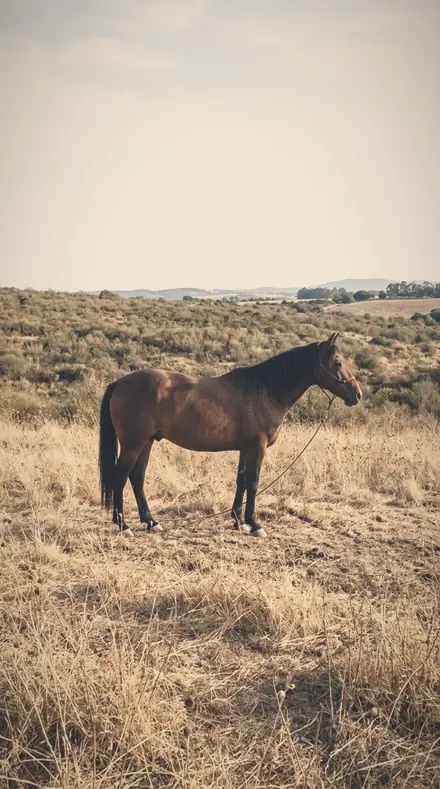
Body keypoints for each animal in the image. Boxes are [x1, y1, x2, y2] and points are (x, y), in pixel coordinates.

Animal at [99, 332, 362, 538]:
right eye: (338, 362)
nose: (357, 395)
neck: (266, 391)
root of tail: (121, 382)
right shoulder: (257, 448)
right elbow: (253, 483)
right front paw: (255, 525)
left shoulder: (246, 448)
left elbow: (241, 481)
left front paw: (239, 521)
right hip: (133, 444)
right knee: (120, 478)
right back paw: (124, 526)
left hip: (146, 443)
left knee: (137, 478)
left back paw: (151, 522)